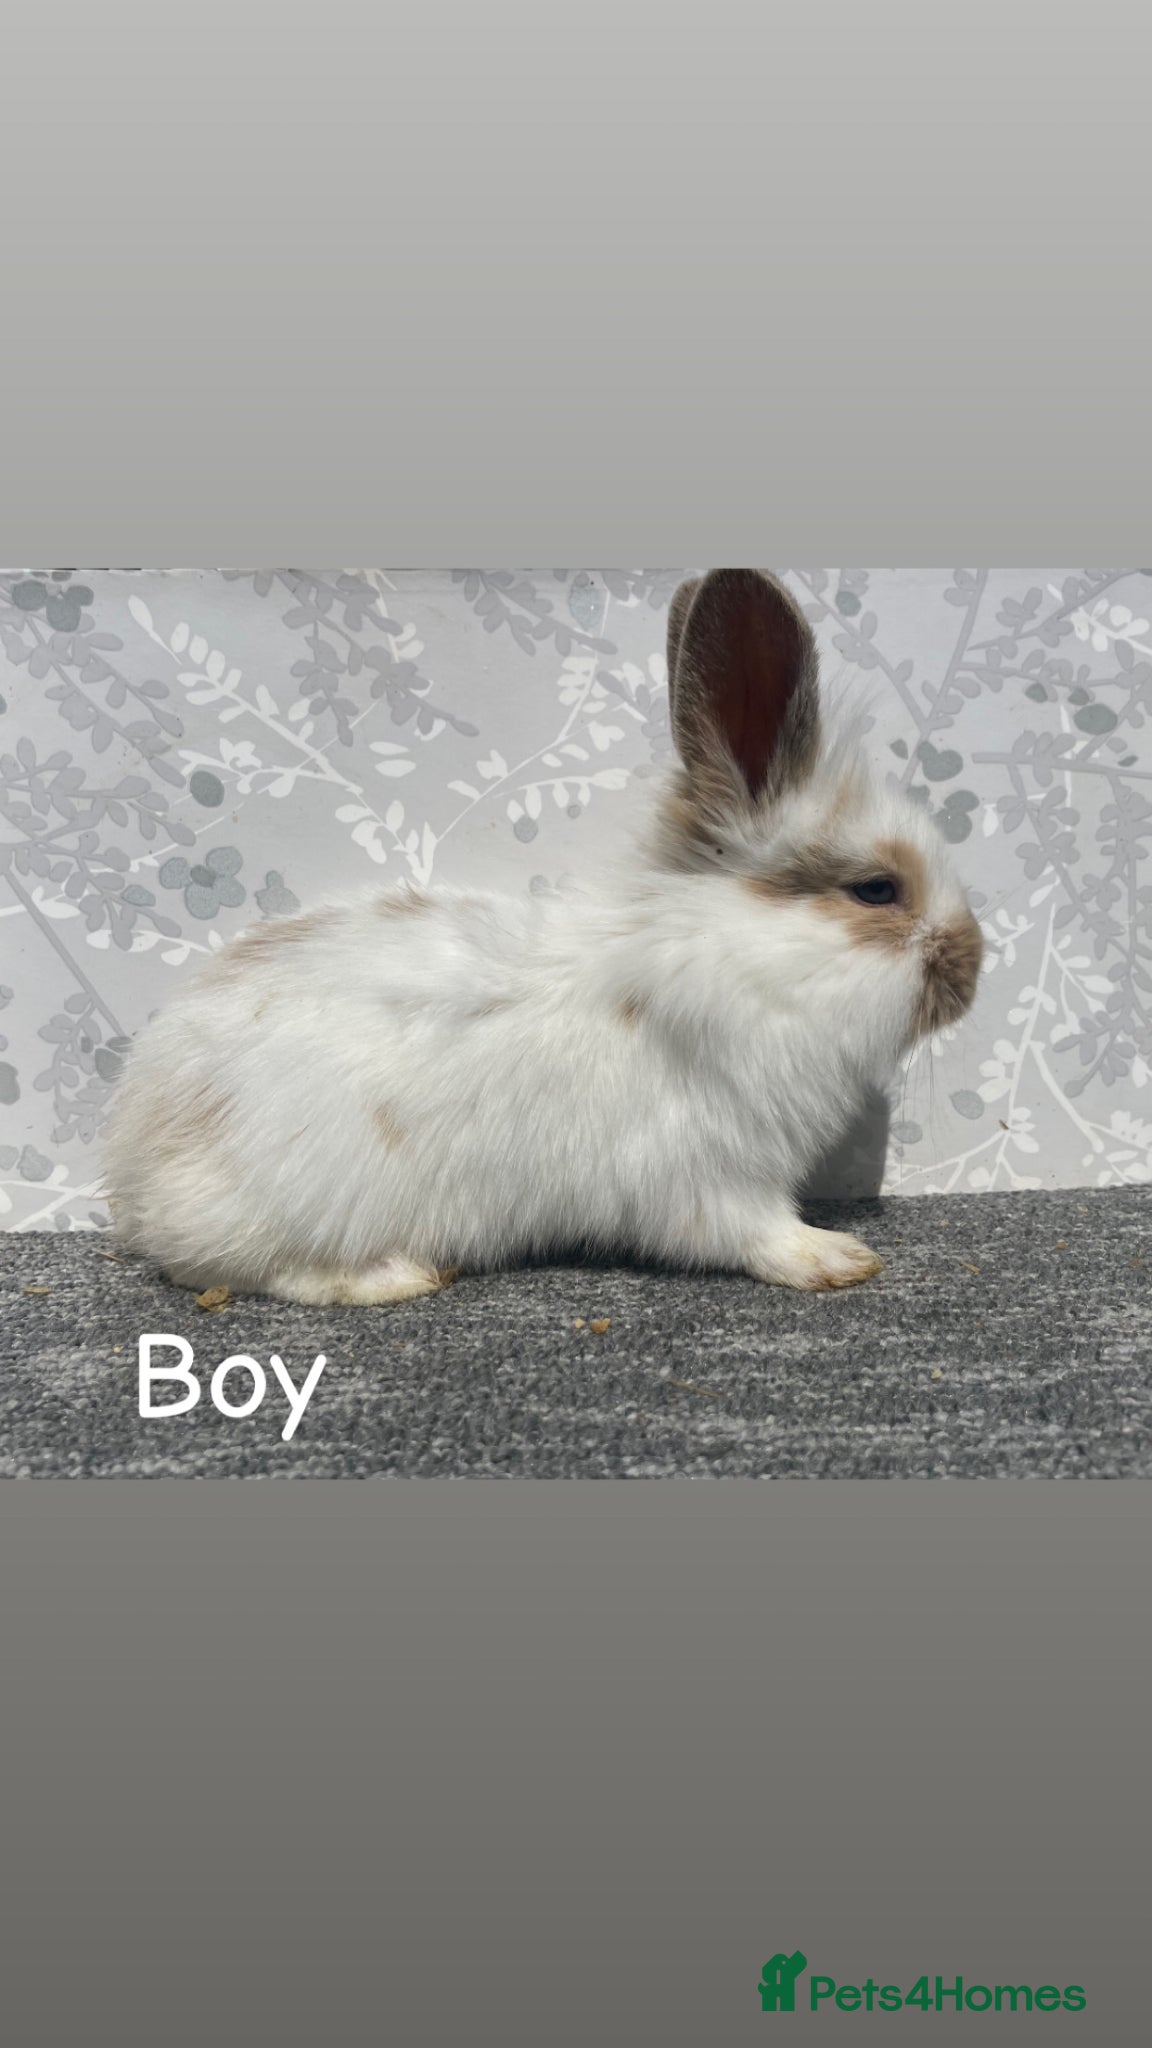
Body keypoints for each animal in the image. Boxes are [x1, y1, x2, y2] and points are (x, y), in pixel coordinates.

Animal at [103, 568, 983, 1304]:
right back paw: (397, 1276)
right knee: (247, 1270)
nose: (973, 970)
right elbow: (754, 1234)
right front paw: (835, 1257)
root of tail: (141, 1156)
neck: (724, 957)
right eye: (877, 890)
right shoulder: (710, 1174)